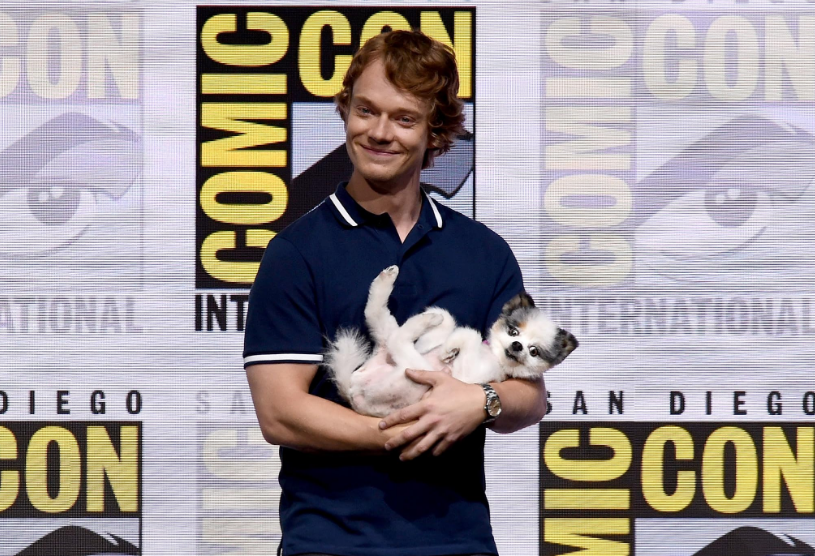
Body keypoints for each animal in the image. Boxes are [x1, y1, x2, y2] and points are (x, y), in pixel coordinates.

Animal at [325, 265, 577, 417]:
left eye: (534, 352)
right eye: (514, 332)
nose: (517, 346)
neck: (490, 354)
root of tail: (351, 391)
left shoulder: (464, 377)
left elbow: (470, 334)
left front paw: (448, 349)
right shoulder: (432, 342)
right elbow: (448, 321)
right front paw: (441, 328)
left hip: (412, 375)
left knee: (398, 339)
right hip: (388, 342)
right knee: (376, 313)